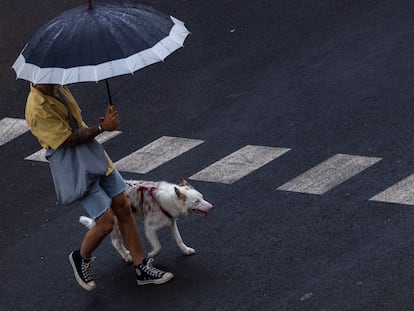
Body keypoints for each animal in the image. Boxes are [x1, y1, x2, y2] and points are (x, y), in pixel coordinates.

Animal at [80, 178, 213, 264]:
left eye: (202, 197)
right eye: (196, 201)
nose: (211, 206)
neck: (170, 198)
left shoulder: (171, 223)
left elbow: (179, 239)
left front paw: (186, 250)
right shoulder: (149, 228)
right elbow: (158, 246)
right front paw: (151, 254)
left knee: (116, 242)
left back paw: (127, 253)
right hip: (116, 224)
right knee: (116, 242)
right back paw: (127, 257)